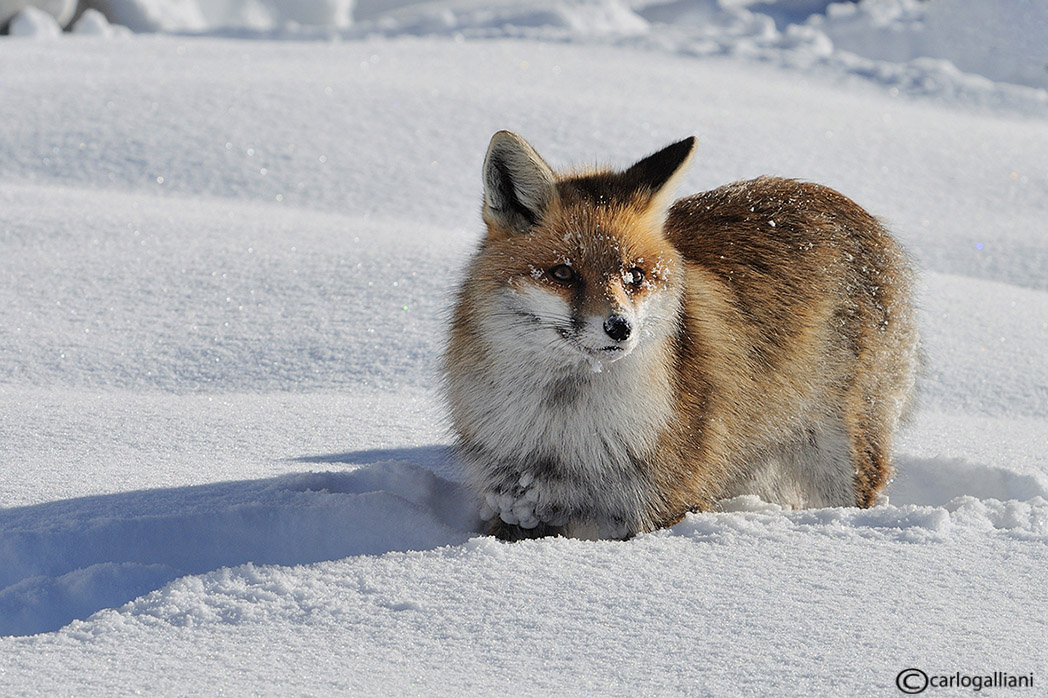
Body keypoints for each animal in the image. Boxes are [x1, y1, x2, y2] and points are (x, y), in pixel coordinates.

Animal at [442, 133, 918, 540]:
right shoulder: (514, 503)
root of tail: (849, 205)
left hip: (842, 458)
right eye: (563, 273)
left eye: (634, 275)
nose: (620, 327)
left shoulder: (661, 507)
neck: (562, 435)